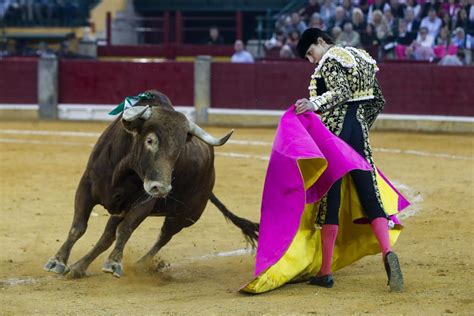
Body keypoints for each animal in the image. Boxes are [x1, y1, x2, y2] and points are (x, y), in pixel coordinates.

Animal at [43, 90, 260, 278]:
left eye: (179, 150)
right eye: (150, 140)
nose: (162, 189)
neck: (123, 172)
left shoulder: (144, 202)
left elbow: (125, 229)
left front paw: (114, 263)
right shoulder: (85, 188)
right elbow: (78, 226)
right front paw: (57, 261)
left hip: (185, 216)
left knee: (162, 237)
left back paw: (140, 264)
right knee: (108, 235)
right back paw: (78, 267)